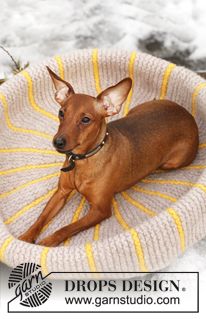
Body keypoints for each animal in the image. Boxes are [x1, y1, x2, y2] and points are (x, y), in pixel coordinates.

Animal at [18, 67, 199, 248]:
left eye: (85, 119)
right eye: (61, 113)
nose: (58, 142)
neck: (83, 160)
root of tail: (187, 114)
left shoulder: (100, 210)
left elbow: (66, 228)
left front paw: (47, 242)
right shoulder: (61, 192)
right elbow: (41, 217)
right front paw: (26, 237)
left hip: (172, 163)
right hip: (135, 110)